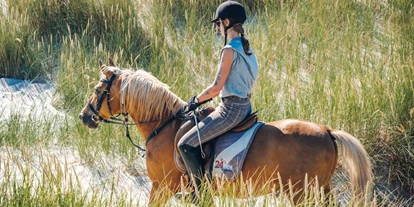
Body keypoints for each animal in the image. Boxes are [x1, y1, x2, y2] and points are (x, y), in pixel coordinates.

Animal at [79, 59, 374, 205]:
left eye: (97, 89)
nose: (84, 117)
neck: (163, 126)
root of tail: (327, 131)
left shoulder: (160, 188)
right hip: (318, 190)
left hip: (303, 193)